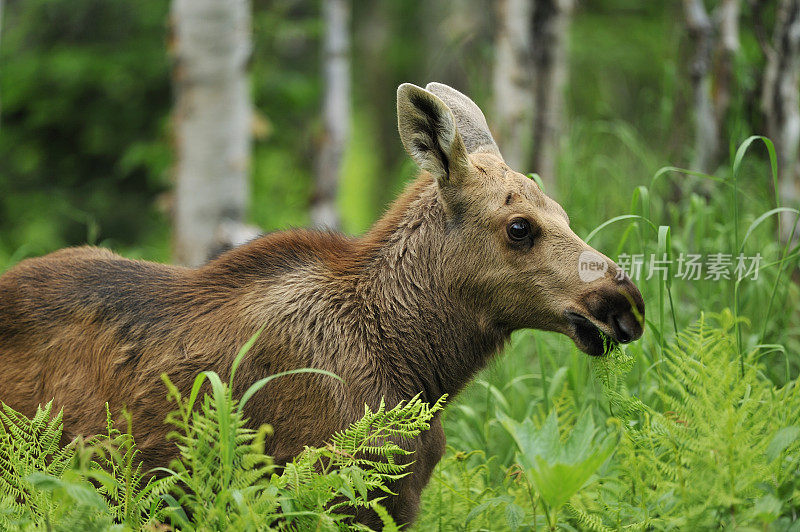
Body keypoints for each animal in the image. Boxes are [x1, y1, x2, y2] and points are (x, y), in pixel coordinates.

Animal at [0, 82, 644, 524]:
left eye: (563, 212)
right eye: (519, 227)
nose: (625, 302)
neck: (421, 366)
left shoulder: (397, 499)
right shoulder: (319, 488)